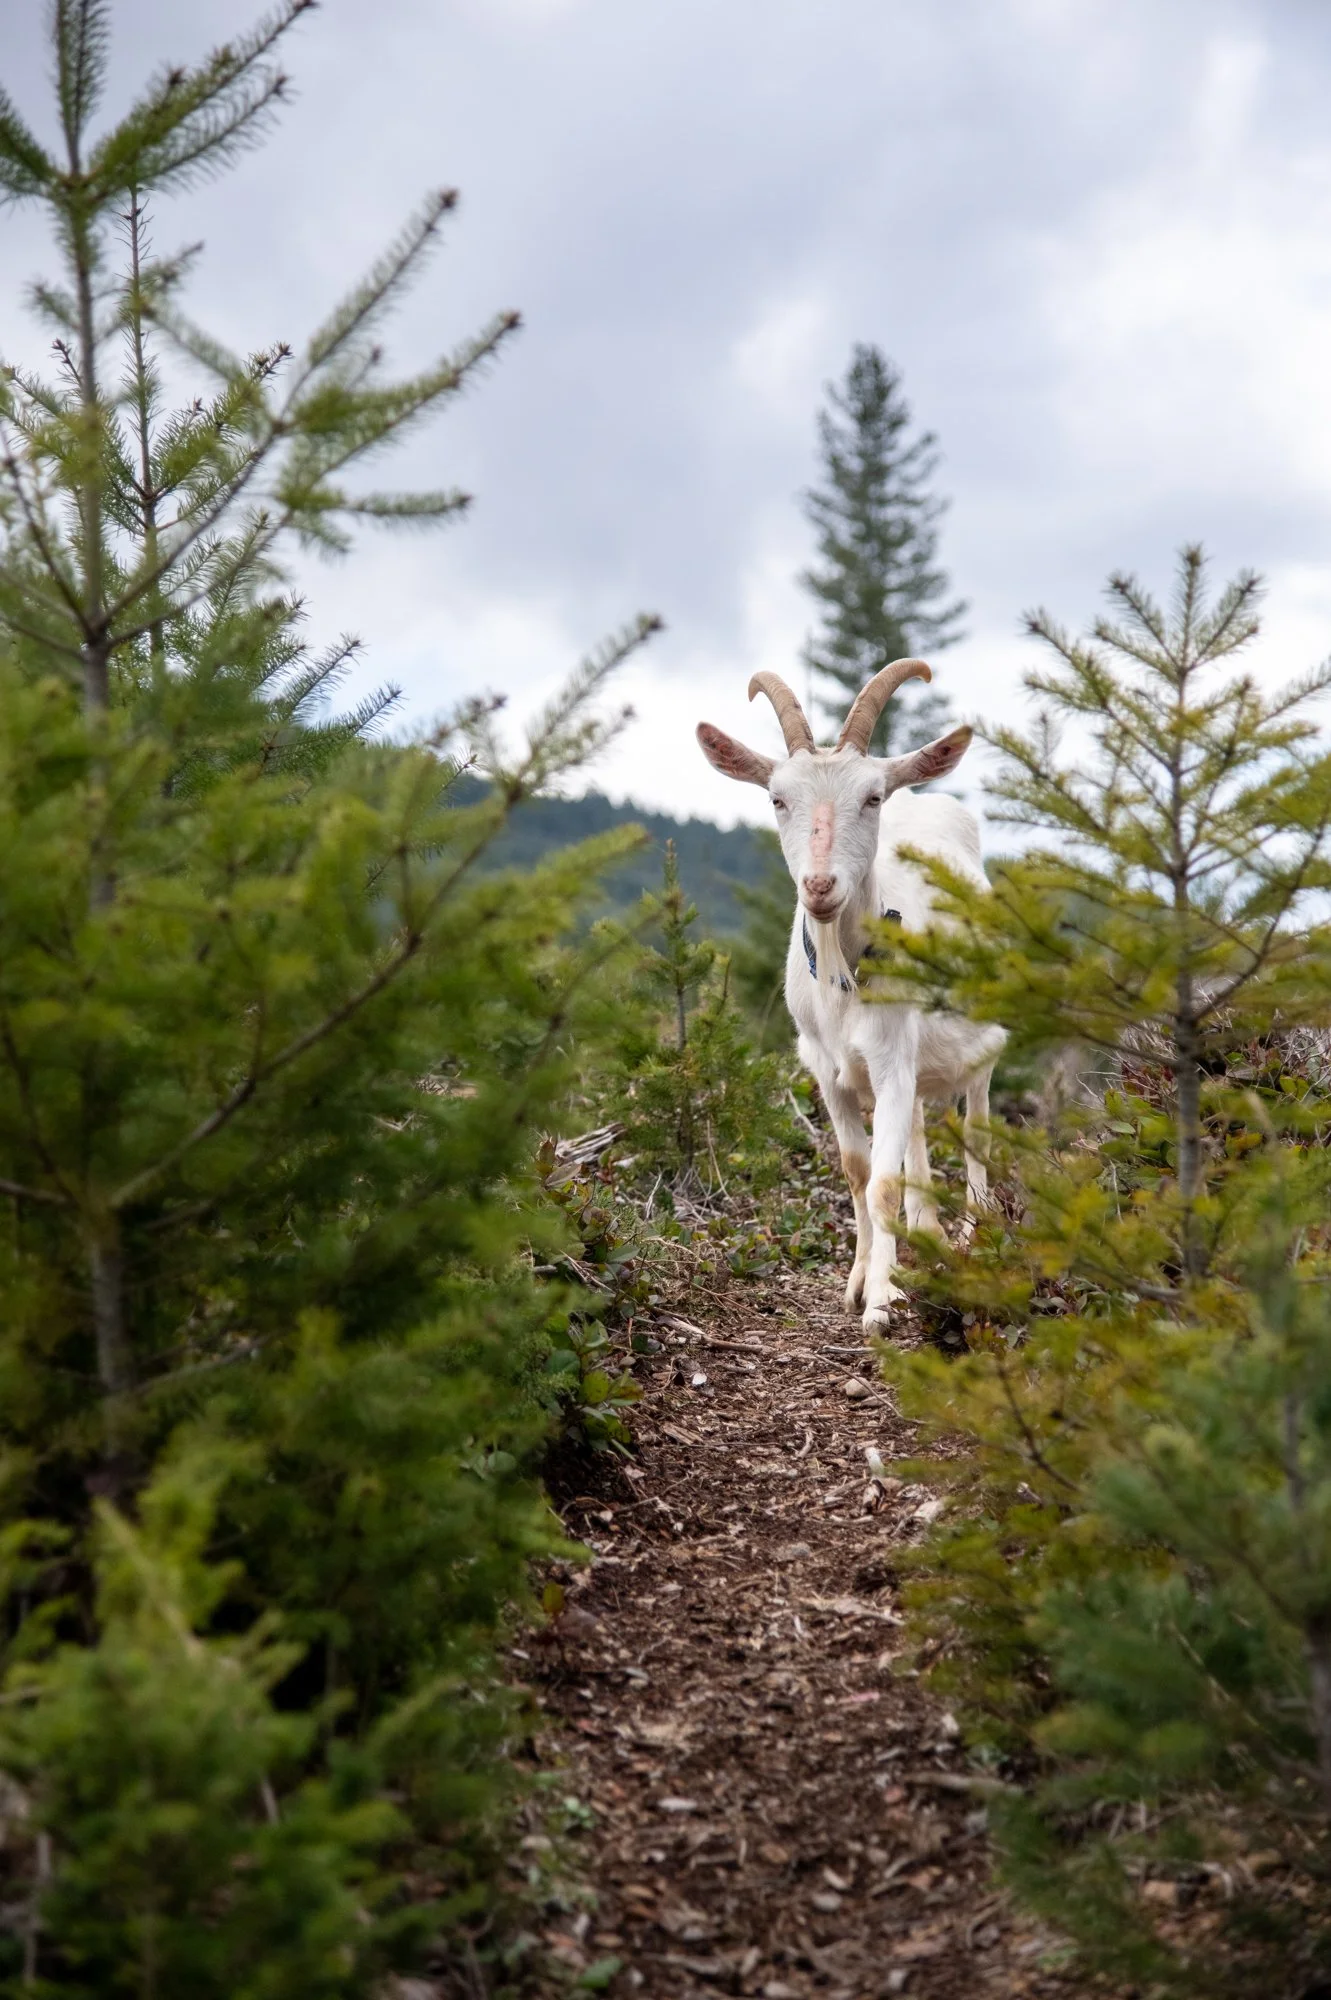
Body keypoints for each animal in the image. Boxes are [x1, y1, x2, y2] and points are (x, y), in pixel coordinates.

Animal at [697, 659, 1005, 1332]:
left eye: (871, 797)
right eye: (777, 798)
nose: (819, 885)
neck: (844, 981)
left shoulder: (891, 1063)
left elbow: (883, 1183)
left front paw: (883, 1304)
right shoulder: (826, 1070)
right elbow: (859, 1172)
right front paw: (860, 1281)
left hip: (984, 1044)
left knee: (977, 1128)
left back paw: (974, 1235)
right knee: (916, 1131)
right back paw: (927, 1234)